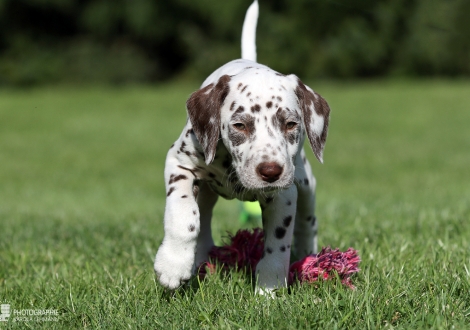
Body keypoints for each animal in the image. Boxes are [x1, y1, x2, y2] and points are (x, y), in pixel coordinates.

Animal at [154, 0, 330, 294]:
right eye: (240, 125)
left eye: (291, 124)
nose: (270, 171)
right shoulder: (179, 163)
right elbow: (183, 215)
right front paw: (173, 264)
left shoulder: (284, 194)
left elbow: (277, 245)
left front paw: (269, 289)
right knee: (202, 219)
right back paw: (198, 260)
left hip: (305, 183)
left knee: (307, 220)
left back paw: (310, 254)